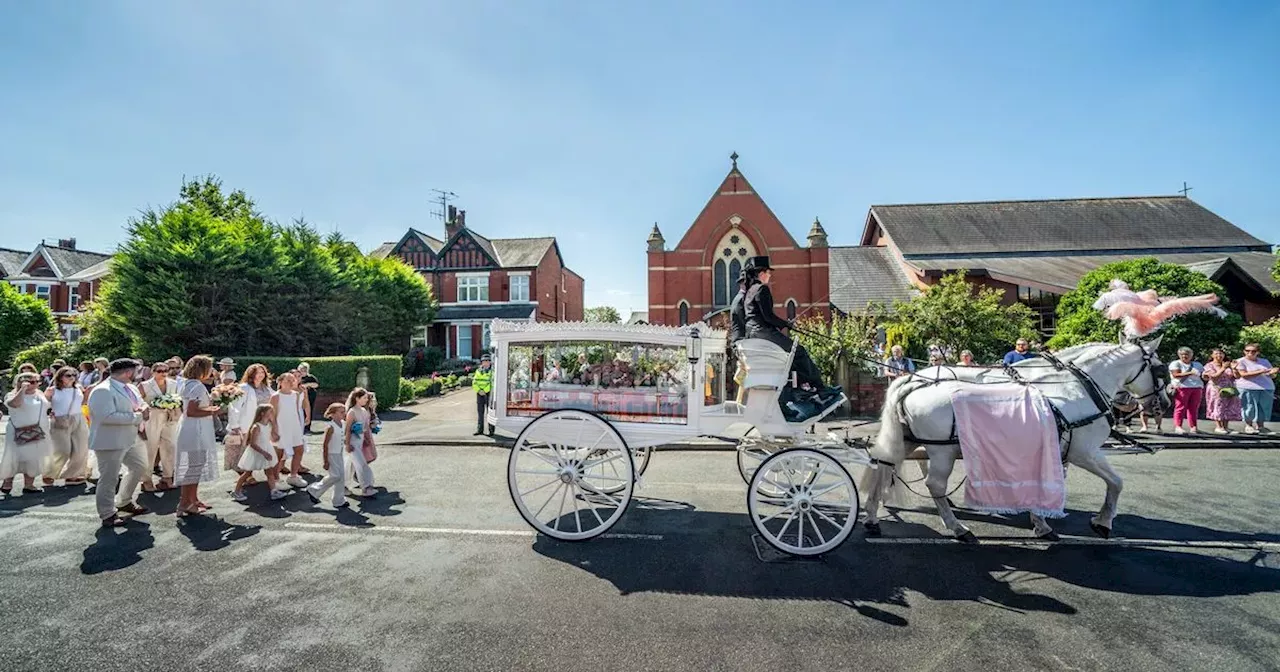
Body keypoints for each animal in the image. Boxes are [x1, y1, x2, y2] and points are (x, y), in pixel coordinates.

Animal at [865, 337, 1167, 542]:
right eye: (1161, 369)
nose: (1161, 404)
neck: (1074, 386)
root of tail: (912, 382)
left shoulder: (1054, 448)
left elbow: (1047, 480)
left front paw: (1041, 520)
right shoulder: (1084, 451)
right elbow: (1116, 482)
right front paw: (1102, 522)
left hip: (907, 438)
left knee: (884, 465)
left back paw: (871, 516)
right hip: (943, 450)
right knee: (934, 483)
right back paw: (958, 528)